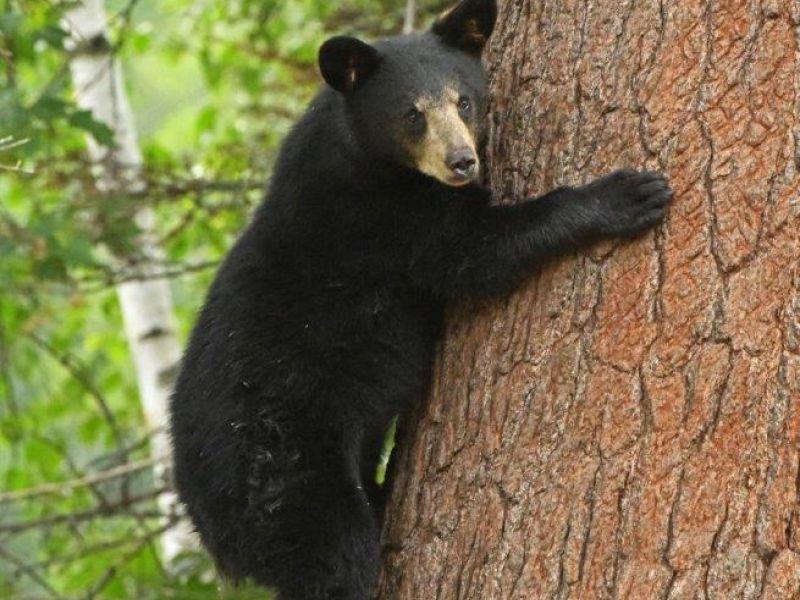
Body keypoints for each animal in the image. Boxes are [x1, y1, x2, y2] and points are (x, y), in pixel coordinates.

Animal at [169, 0, 673, 598]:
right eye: (412, 115)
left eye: (463, 100)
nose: (462, 161)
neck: (360, 150)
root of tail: (205, 524)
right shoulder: (383, 217)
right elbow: (474, 254)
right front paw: (624, 195)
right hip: (283, 474)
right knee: (335, 558)